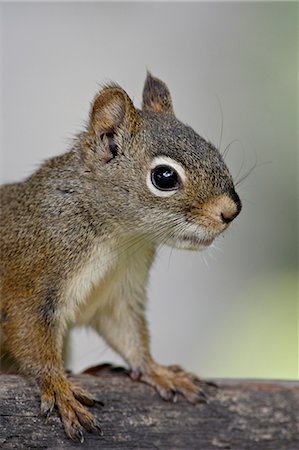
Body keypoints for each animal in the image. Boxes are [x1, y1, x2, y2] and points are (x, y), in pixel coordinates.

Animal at [0, 72, 243, 442]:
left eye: (213, 150)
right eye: (164, 177)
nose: (231, 211)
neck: (119, 238)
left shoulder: (119, 291)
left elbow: (128, 335)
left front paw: (157, 370)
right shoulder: (30, 283)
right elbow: (31, 338)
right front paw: (59, 388)